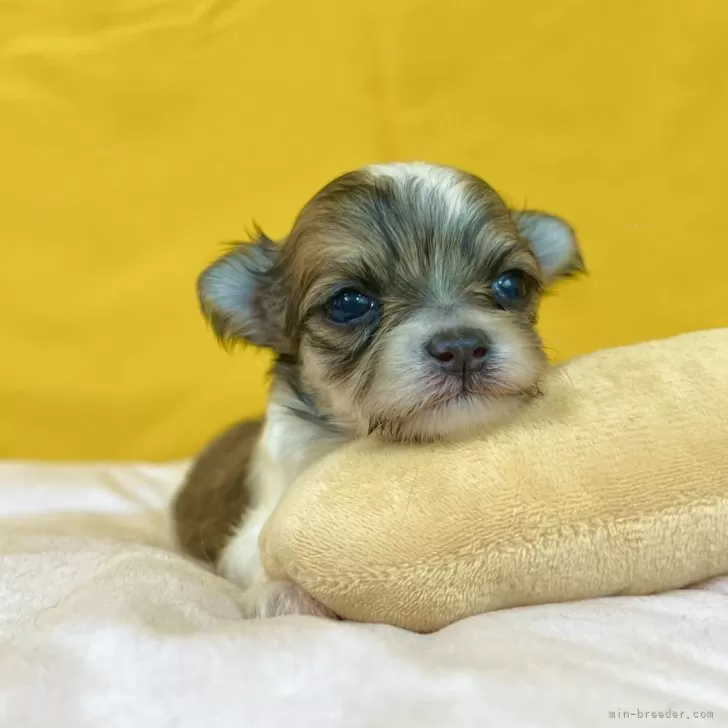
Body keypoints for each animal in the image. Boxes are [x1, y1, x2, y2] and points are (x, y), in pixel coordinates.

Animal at [173, 162, 584, 616]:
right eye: (348, 303)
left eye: (512, 284)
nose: (461, 347)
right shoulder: (256, 526)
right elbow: (267, 554)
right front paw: (283, 593)